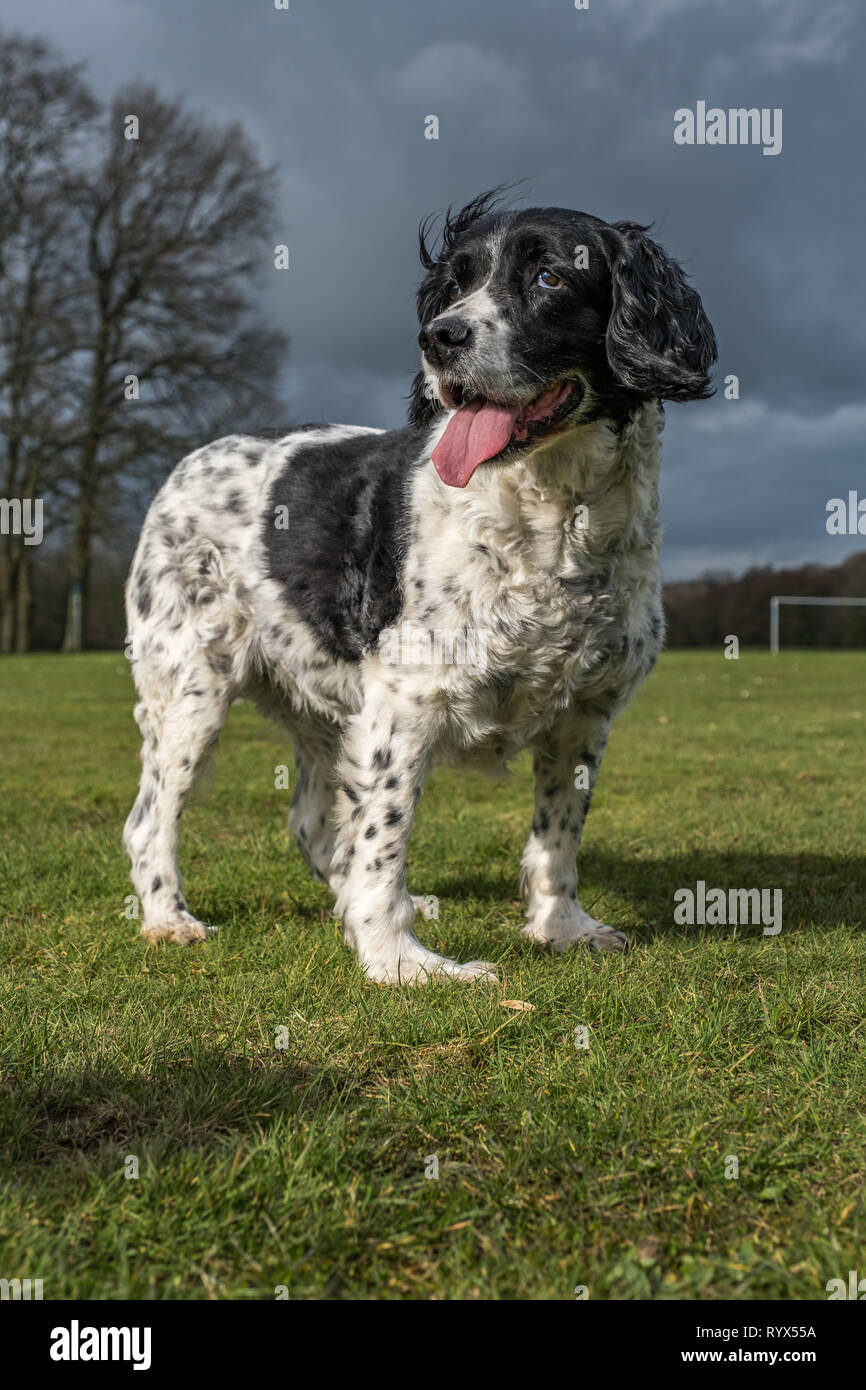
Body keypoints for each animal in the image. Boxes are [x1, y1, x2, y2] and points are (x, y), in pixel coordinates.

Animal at [123, 190, 717, 984]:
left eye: (551, 277)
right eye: (455, 284)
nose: (439, 337)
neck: (553, 516)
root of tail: (189, 462)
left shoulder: (584, 715)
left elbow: (557, 836)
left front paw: (561, 927)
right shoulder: (404, 702)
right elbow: (385, 837)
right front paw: (398, 962)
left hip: (320, 704)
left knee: (310, 820)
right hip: (190, 689)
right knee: (151, 819)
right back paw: (168, 919)